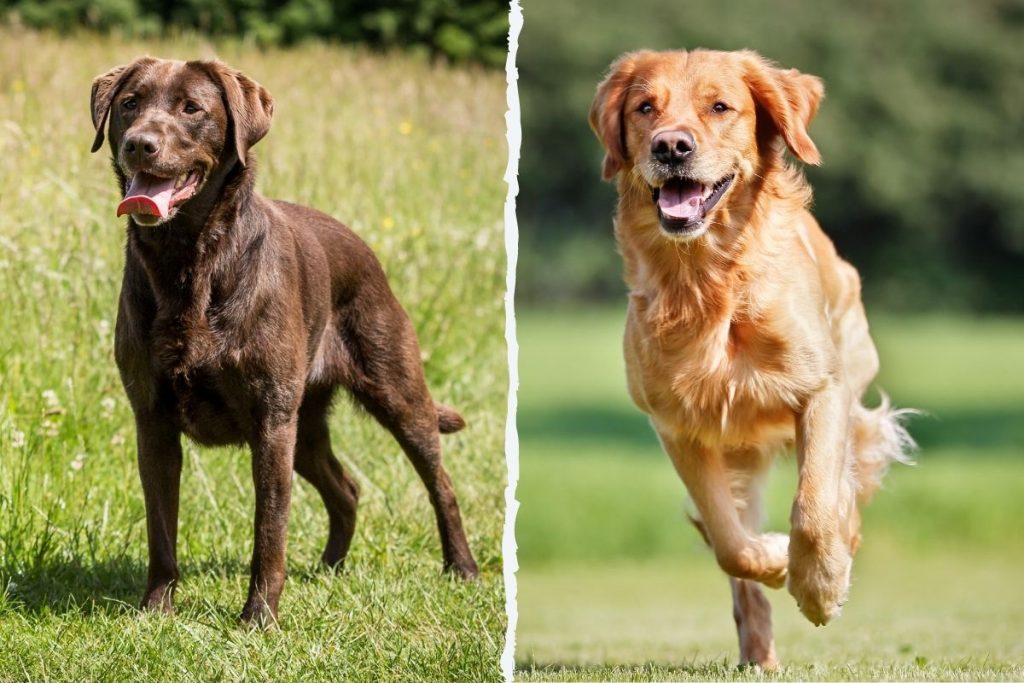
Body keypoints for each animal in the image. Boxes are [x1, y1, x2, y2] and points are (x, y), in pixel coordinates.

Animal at [91, 57, 479, 626]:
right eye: (129, 104)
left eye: (192, 108)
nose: (140, 144)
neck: (191, 259)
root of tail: (367, 251)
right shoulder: (153, 421)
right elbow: (161, 532)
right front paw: (155, 613)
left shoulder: (271, 424)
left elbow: (268, 532)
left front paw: (259, 620)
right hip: (307, 426)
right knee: (347, 490)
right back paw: (330, 569)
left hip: (395, 397)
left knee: (440, 483)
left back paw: (462, 568)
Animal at [589, 50, 917, 671]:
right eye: (645, 108)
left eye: (721, 107)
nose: (671, 147)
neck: (707, 281)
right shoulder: (678, 426)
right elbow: (729, 543)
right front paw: (775, 559)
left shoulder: (822, 391)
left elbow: (815, 509)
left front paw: (820, 587)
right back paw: (758, 646)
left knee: (845, 490)